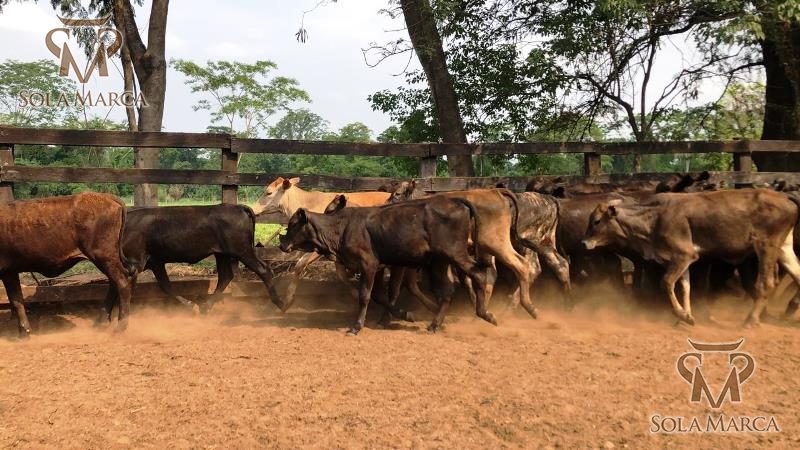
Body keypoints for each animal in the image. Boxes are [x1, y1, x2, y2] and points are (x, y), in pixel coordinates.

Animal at [0, 192, 132, 338]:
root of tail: (106, 196)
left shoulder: (7, 272)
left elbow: (15, 300)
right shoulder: (10, 272)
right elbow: (17, 300)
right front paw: (24, 332)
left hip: (103, 256)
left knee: (122, 283)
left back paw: (120, 327)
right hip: (107, 260)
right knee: (114, 283)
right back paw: (101, 322)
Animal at [108, 204, 285, 314]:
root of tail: (240, 207)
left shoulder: (137, 263)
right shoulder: (156, 263)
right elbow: (166, 286)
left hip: (243, 251)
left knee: (263, 270)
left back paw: (280, 303)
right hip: (222, 254)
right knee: (226, 276)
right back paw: (205, 306)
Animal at [251, 176, 391, 309]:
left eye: (269, 192)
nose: (253, 209)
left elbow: (299, 265)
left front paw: (288, 300)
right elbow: (341, 275)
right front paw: (355, 293)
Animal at [279, 195, 495, 335]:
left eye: (293, 224)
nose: (282, 244)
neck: (341, 228)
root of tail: (456, 200)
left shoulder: (369, 264)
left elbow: (366, 296)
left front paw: (356, 327)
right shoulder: (379, 268)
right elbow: (381, 296)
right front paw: (404, 314)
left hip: (456, 254)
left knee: (478, 275)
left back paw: (485, 314)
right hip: (439, 262)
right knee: (447, 291)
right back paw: (434, 325)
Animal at [581, 189, 800, 327]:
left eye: (597, 221)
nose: (584, 243)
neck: (655, 217)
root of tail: (785, 196)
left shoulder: (684, 254)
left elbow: (666, 282)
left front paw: (681, 315)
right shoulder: (683, 260)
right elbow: (685, 287)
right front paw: (687, 316)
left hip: (766, 247)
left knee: (766, 283)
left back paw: (750, 320)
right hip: (784, 249)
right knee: (797, 274)